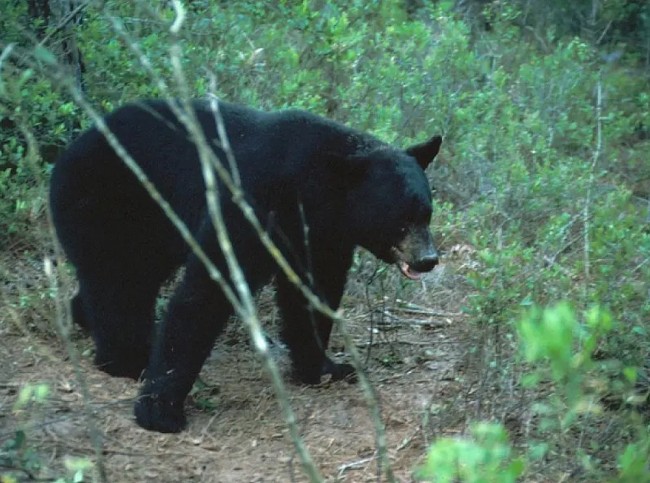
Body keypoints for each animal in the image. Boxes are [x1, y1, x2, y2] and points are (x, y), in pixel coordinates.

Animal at [49, 99, 442, 433]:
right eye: (401, 221)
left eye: (426, 213)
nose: (428, 259)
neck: (310, 190)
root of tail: (69, 150)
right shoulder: (250, 202)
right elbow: (206, 291)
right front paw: (160, 409)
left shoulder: (319, 237)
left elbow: (312, 294)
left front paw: (325, 368)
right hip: (109, 201)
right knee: (118, 281)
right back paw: (127, 359)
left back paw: (86, 319)